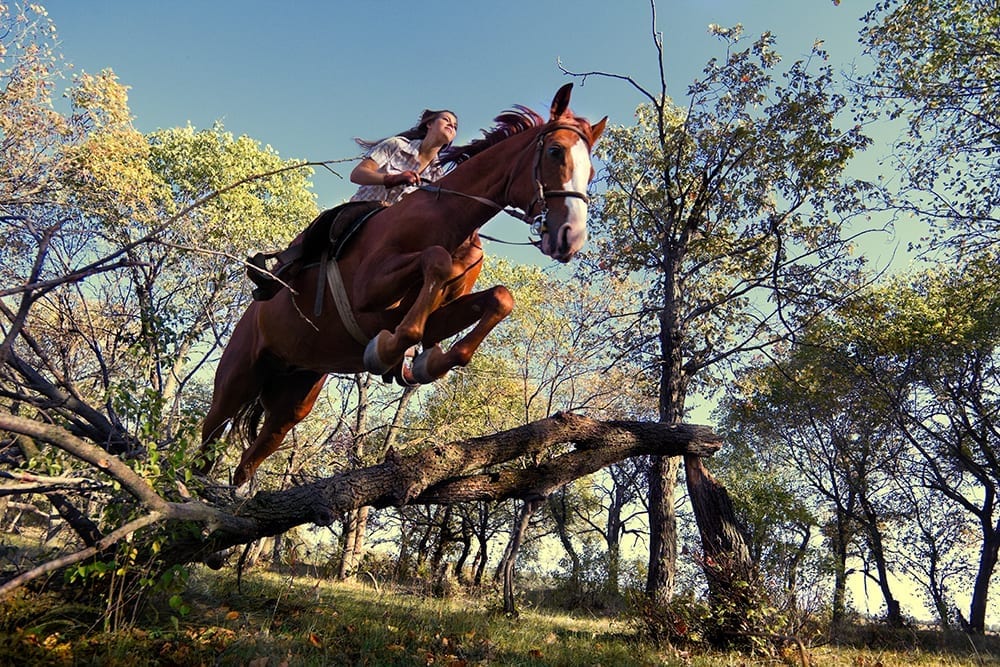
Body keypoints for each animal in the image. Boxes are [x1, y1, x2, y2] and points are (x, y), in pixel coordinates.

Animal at [195, 83, 600, 486]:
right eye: (555, 151)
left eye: (592, 170)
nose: (570, 237)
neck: (449, 219)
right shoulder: (368, 288)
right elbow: (433, 263)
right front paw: (388, 351)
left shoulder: (438, 314)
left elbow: (499, 300)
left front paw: (424, 363)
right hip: (236, 378)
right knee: (207, 440)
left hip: (293, 396)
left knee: (251, 457)